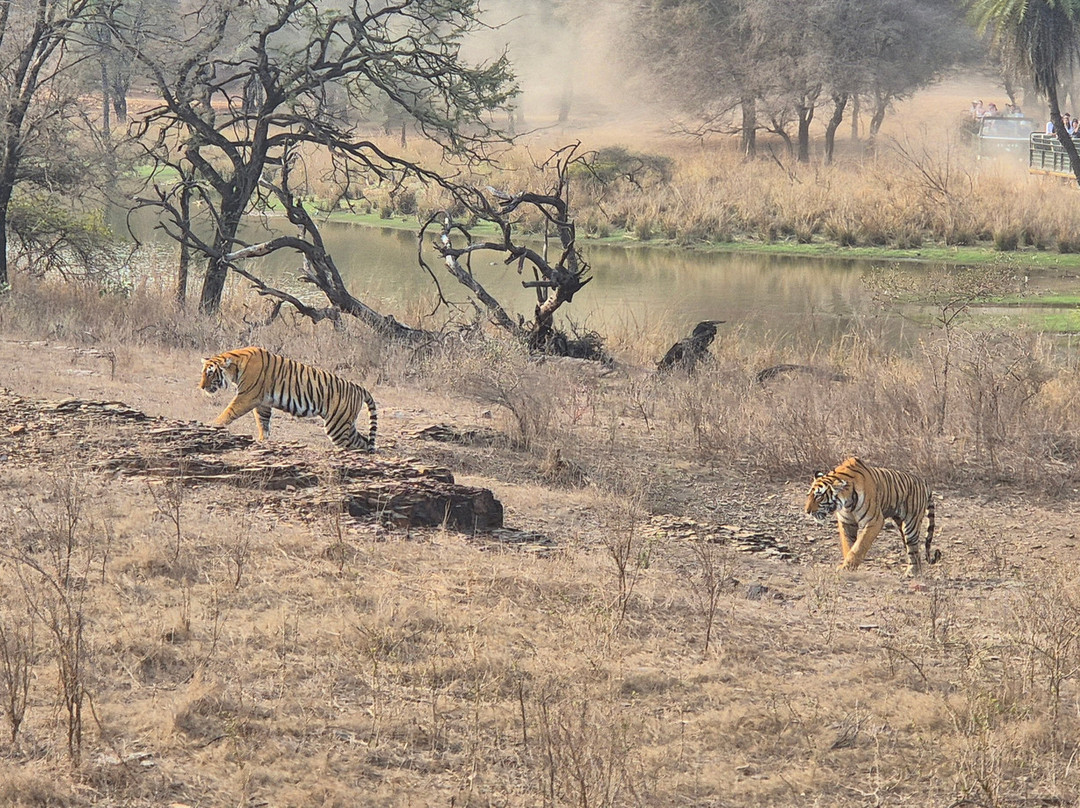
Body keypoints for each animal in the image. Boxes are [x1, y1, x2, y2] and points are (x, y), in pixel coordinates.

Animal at [200, 346, 377, 452]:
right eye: (203, 372)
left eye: (210, 373)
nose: (201, 387)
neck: (235, 368)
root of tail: (359, 388)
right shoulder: (263, 403)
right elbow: (263, 423)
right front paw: (263, 440)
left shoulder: (247, 396)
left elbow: (229, 411)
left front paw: (213, 424)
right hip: (345, 422)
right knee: (362, 442)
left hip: (337, 425)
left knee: (350, 445)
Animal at [804, 456, 939, 575]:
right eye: (809, 495)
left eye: (818, 496)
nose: (807, 511)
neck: (846, 502)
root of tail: (924, 482)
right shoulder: (846, 522)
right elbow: (848, 545)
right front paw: (847, 565)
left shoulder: (874, 521)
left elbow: (859, 546)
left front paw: (846, 567)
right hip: (901, 525)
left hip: (911, 524)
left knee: (913, 548)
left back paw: (912, 573)